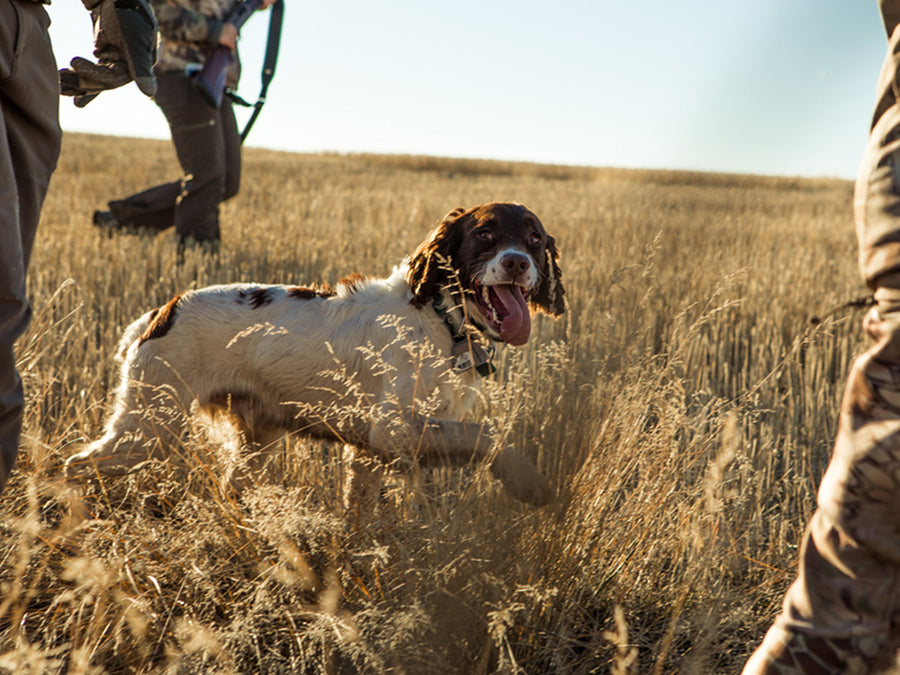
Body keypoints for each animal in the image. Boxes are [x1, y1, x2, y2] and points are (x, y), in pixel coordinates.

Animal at [67, 205, 568, 508]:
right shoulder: (390, 429)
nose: (517, 263)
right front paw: (528, 482)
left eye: (534, 238)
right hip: (146, 428)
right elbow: (486, 434)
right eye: (484, 233)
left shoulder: (369, 450)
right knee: (75, 465)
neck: (440, 319)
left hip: (253, 439)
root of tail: (160, 312)